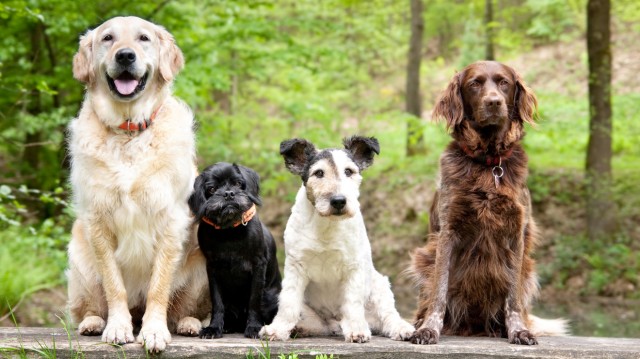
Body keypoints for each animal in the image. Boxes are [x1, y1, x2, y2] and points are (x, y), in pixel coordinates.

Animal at [188, 163, 282, 340]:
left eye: (238, 183)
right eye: (211, 188)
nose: (229, 193)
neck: (229, 231)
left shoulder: (258, 266)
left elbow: (254, 300)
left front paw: (254, 327)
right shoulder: (212, 269)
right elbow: (217, 302)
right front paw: (214, 328)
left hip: (271, 297)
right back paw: (228, 326)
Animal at [410, 61, 564, 346]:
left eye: (504, 83)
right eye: (475, 84)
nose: (494, 102)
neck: (489, 164)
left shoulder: (516, 233)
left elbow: (513, 298)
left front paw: (518, 330)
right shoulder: (448, 232)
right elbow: (439, 291)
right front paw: (429, 329)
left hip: (529, 269)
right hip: (423, 258)